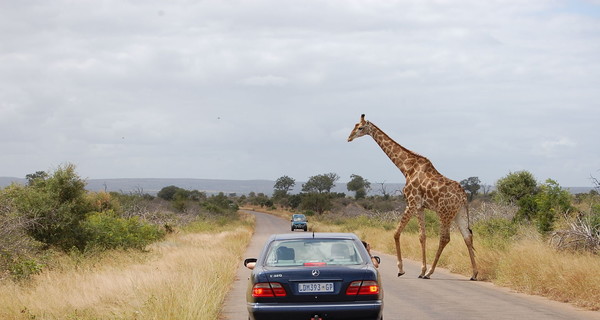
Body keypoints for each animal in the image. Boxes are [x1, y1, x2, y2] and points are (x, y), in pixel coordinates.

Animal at [346, 114, 478, 278]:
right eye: (355, 125)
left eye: (360, 127)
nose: (349, 137)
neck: (406, 168)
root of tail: (463, 197)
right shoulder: (420, 207)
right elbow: (422, 236)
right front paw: (421, 270)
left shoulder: (411, 202)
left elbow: (396, 233)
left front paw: (401, 269)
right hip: (459, 213)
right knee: (467, 236)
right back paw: (474, 273)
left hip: (444, 212)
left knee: (445, 238)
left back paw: (430, 272)